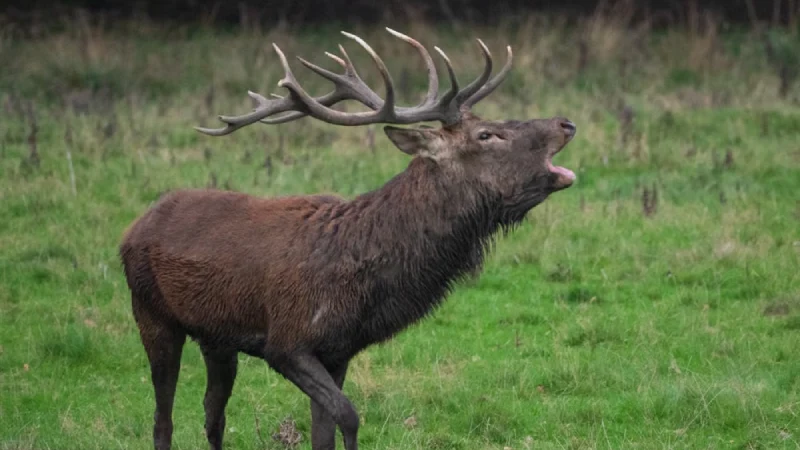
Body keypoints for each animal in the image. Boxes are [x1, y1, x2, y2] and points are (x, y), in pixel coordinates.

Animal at [119, 28, 577, 450]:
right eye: (486, 135)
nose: (565, 122)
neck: (364, 281)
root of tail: (135, 226)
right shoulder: (287, 341)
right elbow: (349, 414)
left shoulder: (338, 350)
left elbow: (323, 432)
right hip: (151, 312)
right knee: (163, 419)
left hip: (216, 338)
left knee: (212, 414)